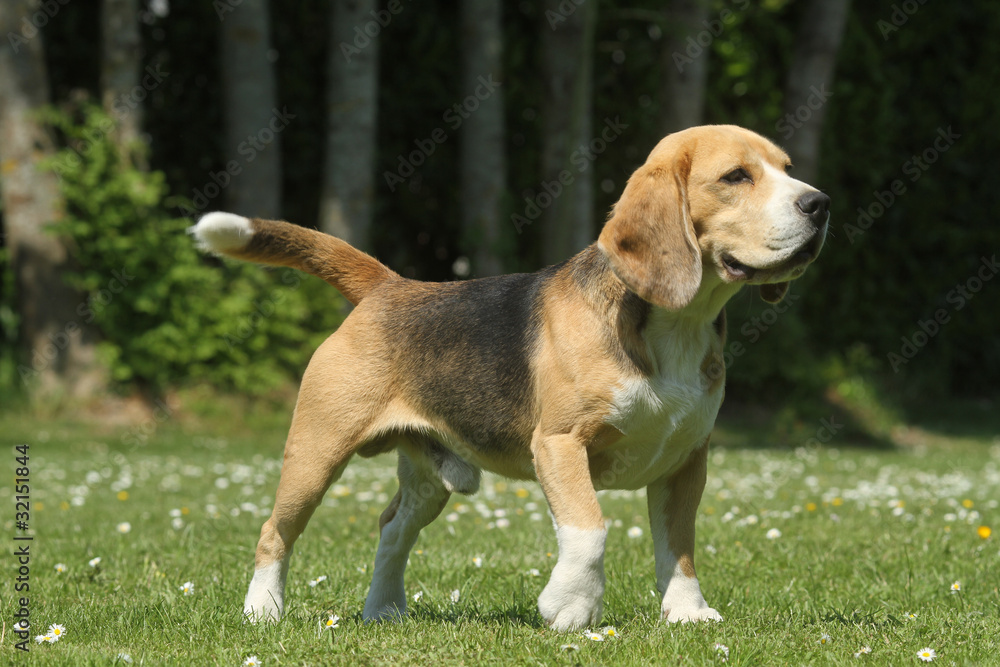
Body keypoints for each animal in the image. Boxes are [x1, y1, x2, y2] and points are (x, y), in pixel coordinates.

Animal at [189, 124, 828, 632]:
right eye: (736, 176)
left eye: (788, 170)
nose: (820, 203)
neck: (678, 322)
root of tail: (392, 286)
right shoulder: (561, 444)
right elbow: (590, 530)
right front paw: (571, 608)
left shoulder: (687, 460)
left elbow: (680, 546)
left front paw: (687, 613)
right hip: (316, 452)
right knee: (275, 532)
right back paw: (263, 610)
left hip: (431, 478)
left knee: (392, 529)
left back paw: (384, 609)